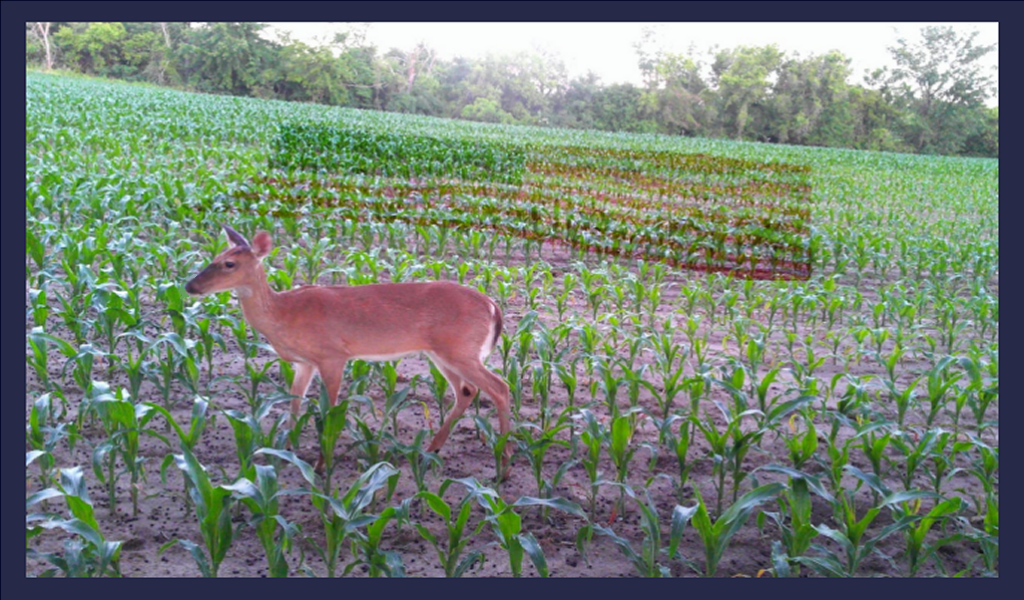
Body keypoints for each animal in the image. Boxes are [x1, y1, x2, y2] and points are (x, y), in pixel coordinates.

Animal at [184, 224, 512, 477]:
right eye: (215, 257)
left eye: (229, 264)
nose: (190, 286)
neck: (283, 314)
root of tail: (492, 305)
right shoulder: (304, 362)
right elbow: (294, 404)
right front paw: (285, 451)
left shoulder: (333, 355)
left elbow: (328, 411)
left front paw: (320, 465)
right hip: (442, 353)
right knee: (467, 391)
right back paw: (430, 451)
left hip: (459, 350)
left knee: (500, 387)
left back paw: (503, 466)